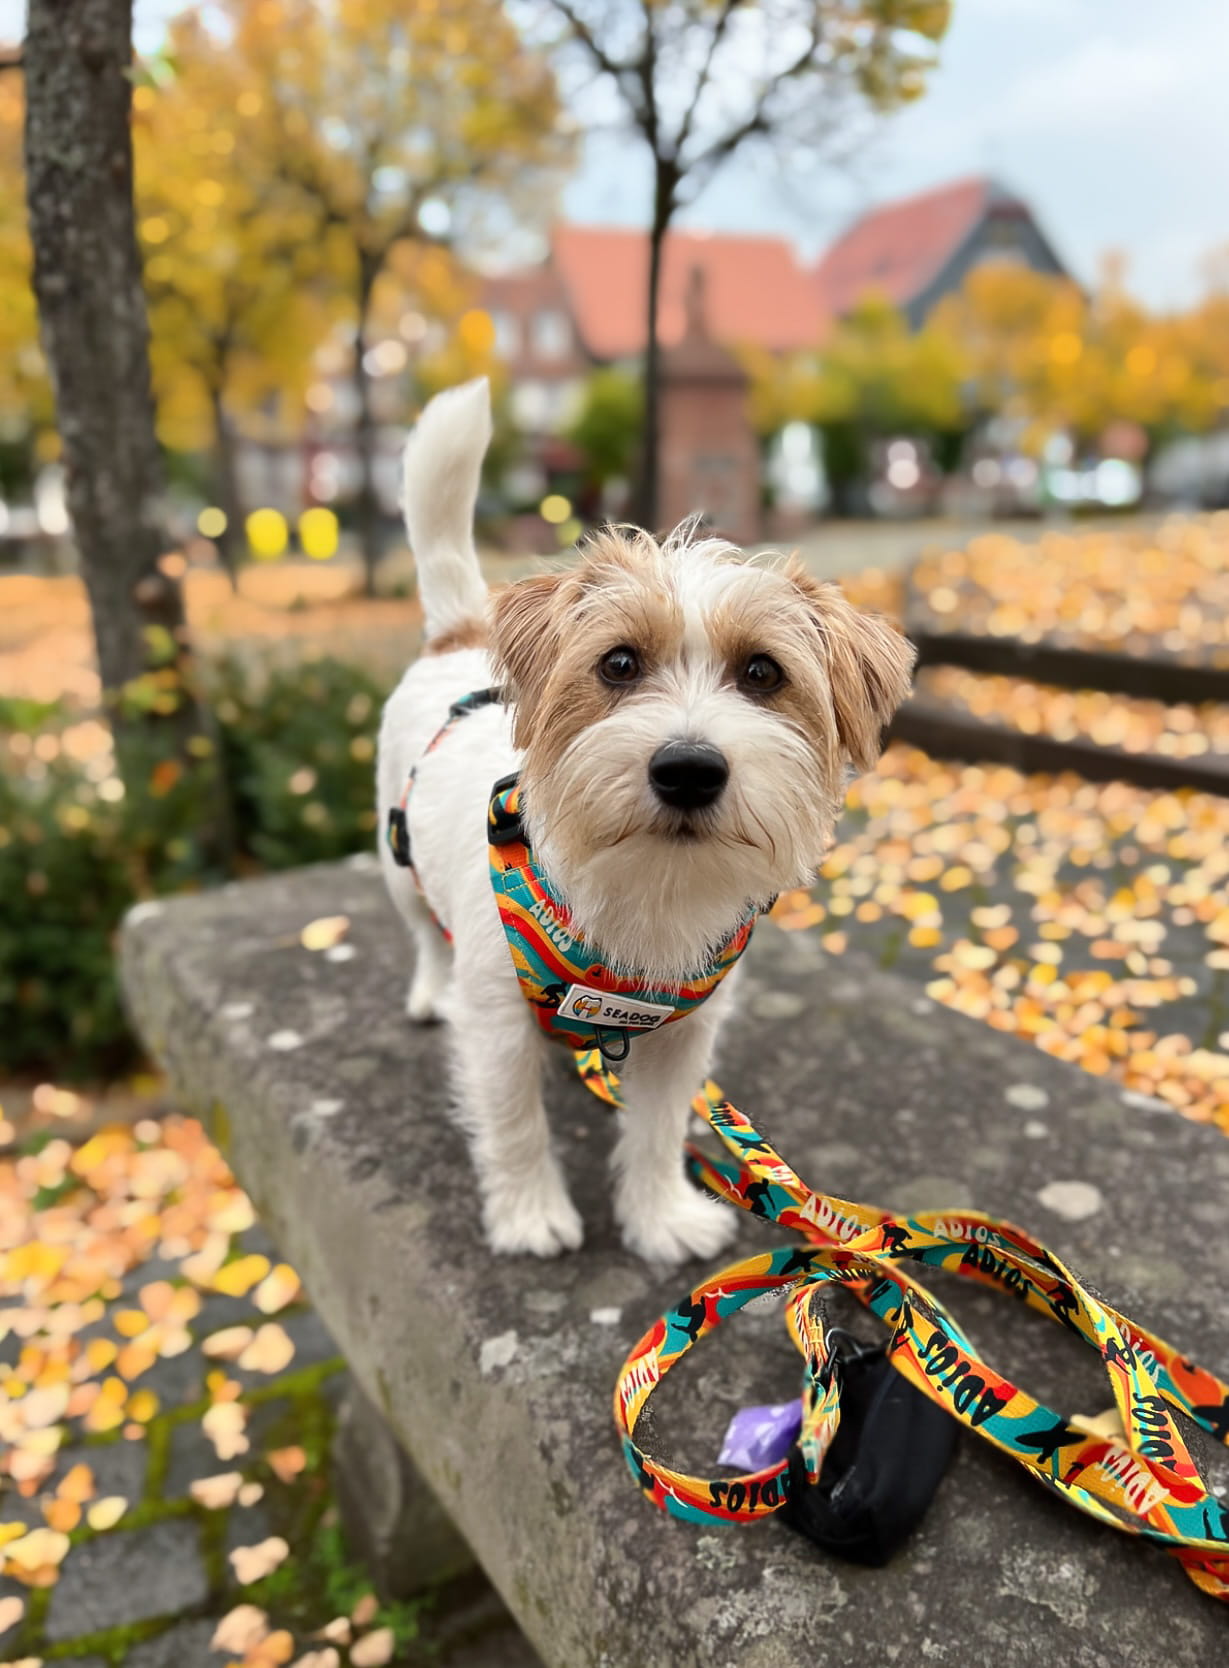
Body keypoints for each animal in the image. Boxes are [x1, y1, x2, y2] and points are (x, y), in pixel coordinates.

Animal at [373, 378, 913, 1261]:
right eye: (618, 663)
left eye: (762, 673)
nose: (687, 768)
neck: (647, 888)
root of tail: (460, 636)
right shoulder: (497, 1027)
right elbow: (514, 1124)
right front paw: (528, 1213)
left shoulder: (681, 1038)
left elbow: (657, 1130)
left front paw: (659, 1216)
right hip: (398, 860)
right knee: (423, 931)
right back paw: (429, 990)